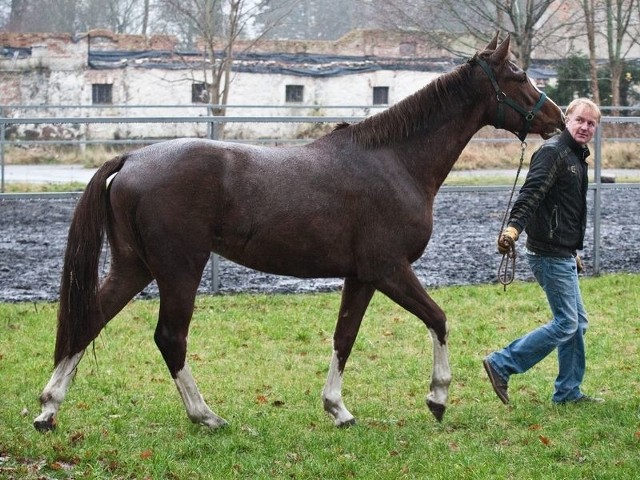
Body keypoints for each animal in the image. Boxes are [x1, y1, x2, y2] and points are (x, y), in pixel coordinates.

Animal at [35, 33, 564, 432]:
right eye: (518, 75)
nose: (557, 118)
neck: (394, 160)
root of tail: (131, 160)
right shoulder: (389, 269)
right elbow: (438, 318)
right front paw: (436, 397)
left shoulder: (362, 276)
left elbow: (344, 337)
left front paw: (338, 409)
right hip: (178, 269)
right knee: (170, 337)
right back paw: (206, 416)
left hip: (136, 267)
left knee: (90, 318)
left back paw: (48, 408)